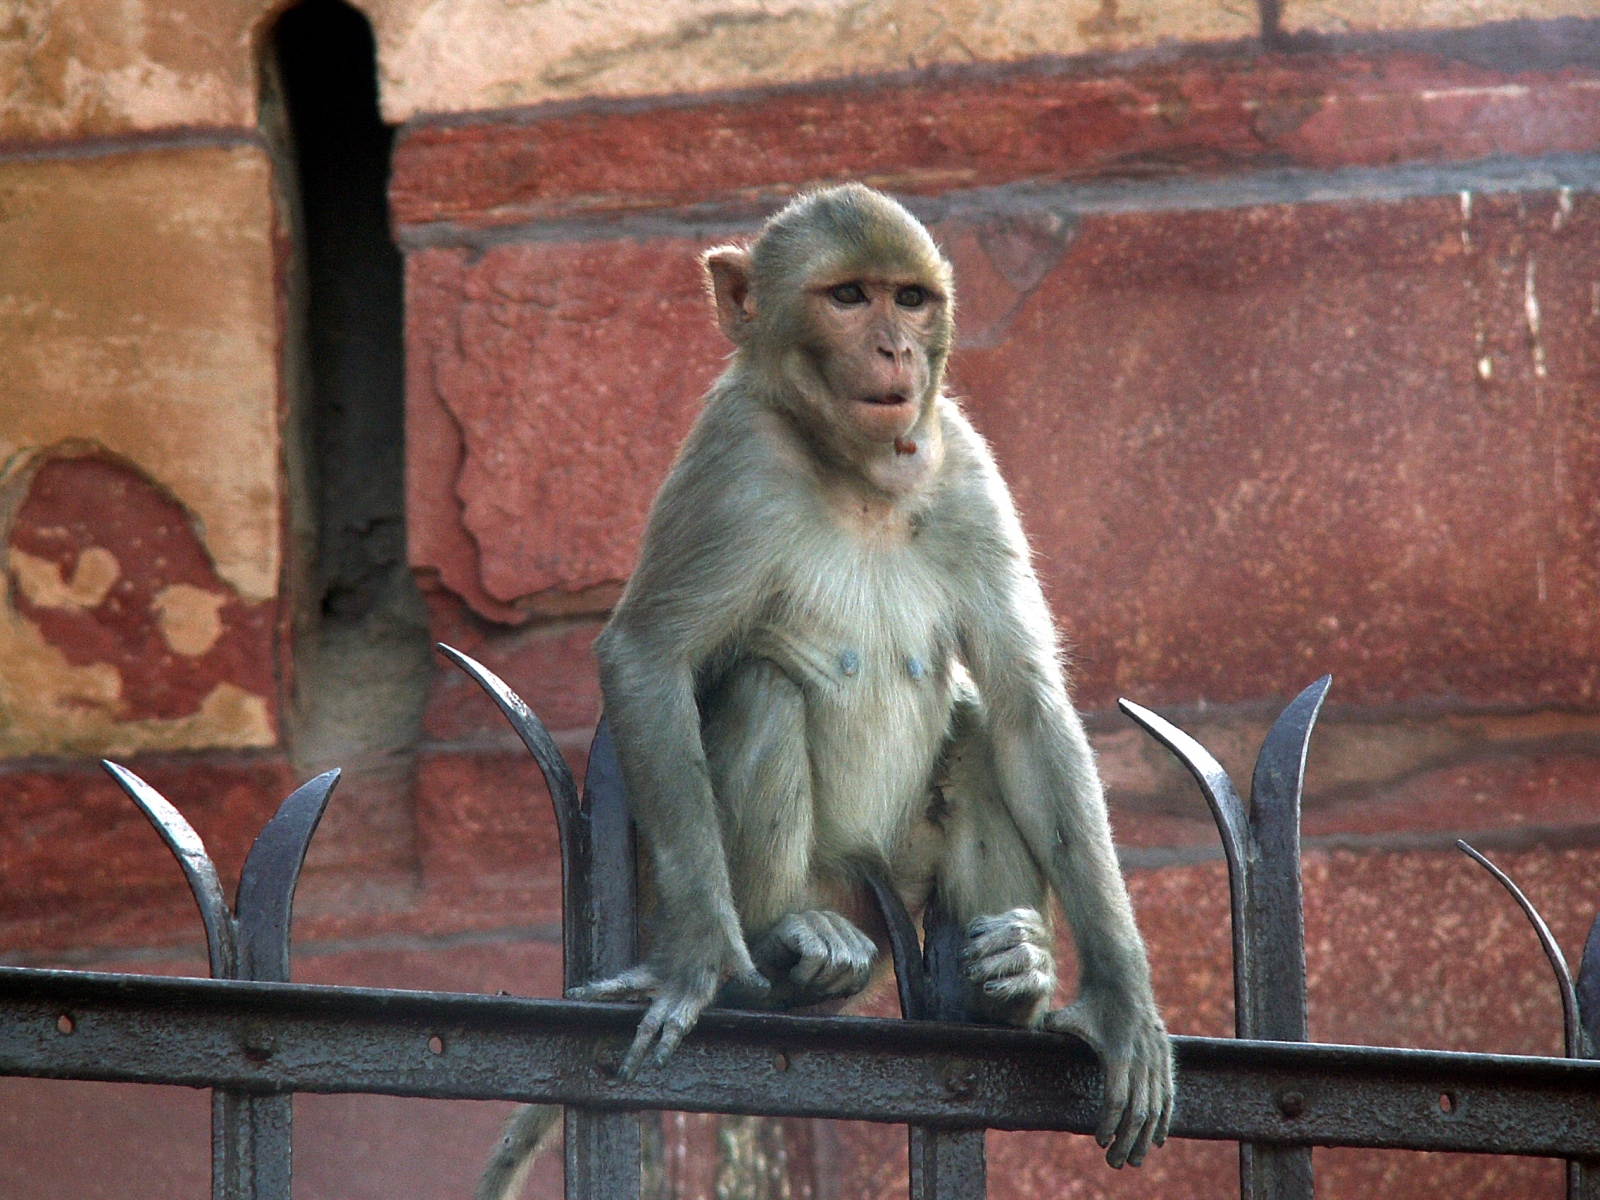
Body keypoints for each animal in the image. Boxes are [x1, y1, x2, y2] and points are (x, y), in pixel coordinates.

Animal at [480, 185, 1171, 1199]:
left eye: (910, 300)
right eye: (847, 297)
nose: (896, 352)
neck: (861, 477)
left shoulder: (965, 464)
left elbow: (1023, 704)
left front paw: (1121, 996)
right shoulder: (734, 456)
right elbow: (649, 655)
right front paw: (696, 959)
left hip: (897, 889)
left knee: (976, 732)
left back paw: (1009, 984)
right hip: (824, 885)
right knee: (766, 690)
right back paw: (778, 954)